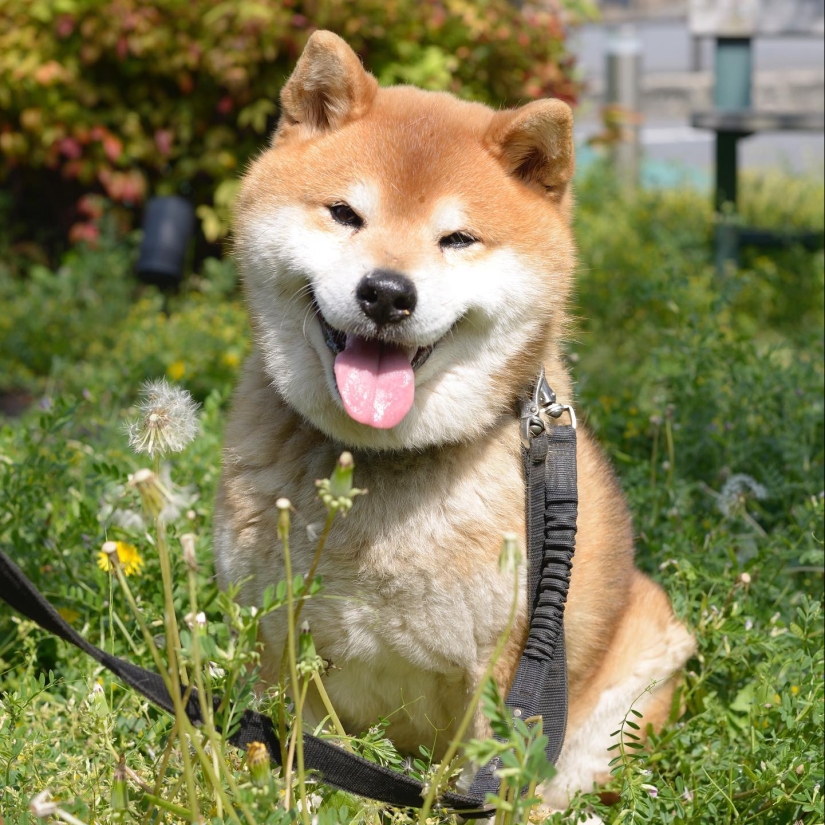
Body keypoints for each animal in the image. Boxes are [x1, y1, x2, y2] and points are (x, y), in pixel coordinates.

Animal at [214, 30, 696, 812]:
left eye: (457, 239)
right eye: (344, 213)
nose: (386, 292)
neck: (379, 471)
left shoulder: (505, 674)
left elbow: (482, 785)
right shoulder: (277, 641)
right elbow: (298, 759)